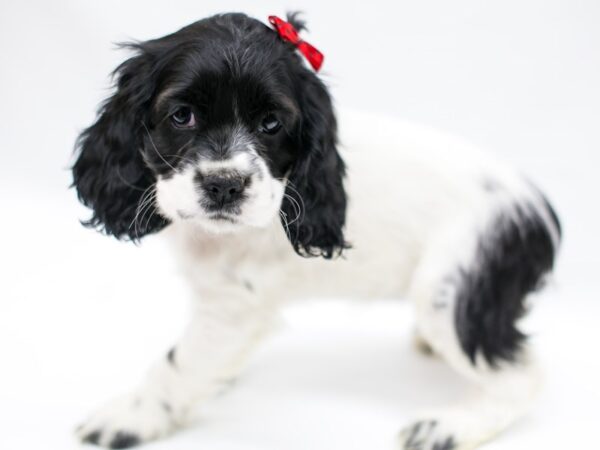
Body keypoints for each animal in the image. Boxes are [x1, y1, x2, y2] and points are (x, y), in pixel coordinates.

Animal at [72, 12, 560, 450]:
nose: (224, 184)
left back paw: (450, 426)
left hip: (453, 293)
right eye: (182, 115)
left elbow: (178, 364)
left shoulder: (232, 307)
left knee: (524, 373)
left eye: (271, 123)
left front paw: (130, 417)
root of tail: (539, 211)